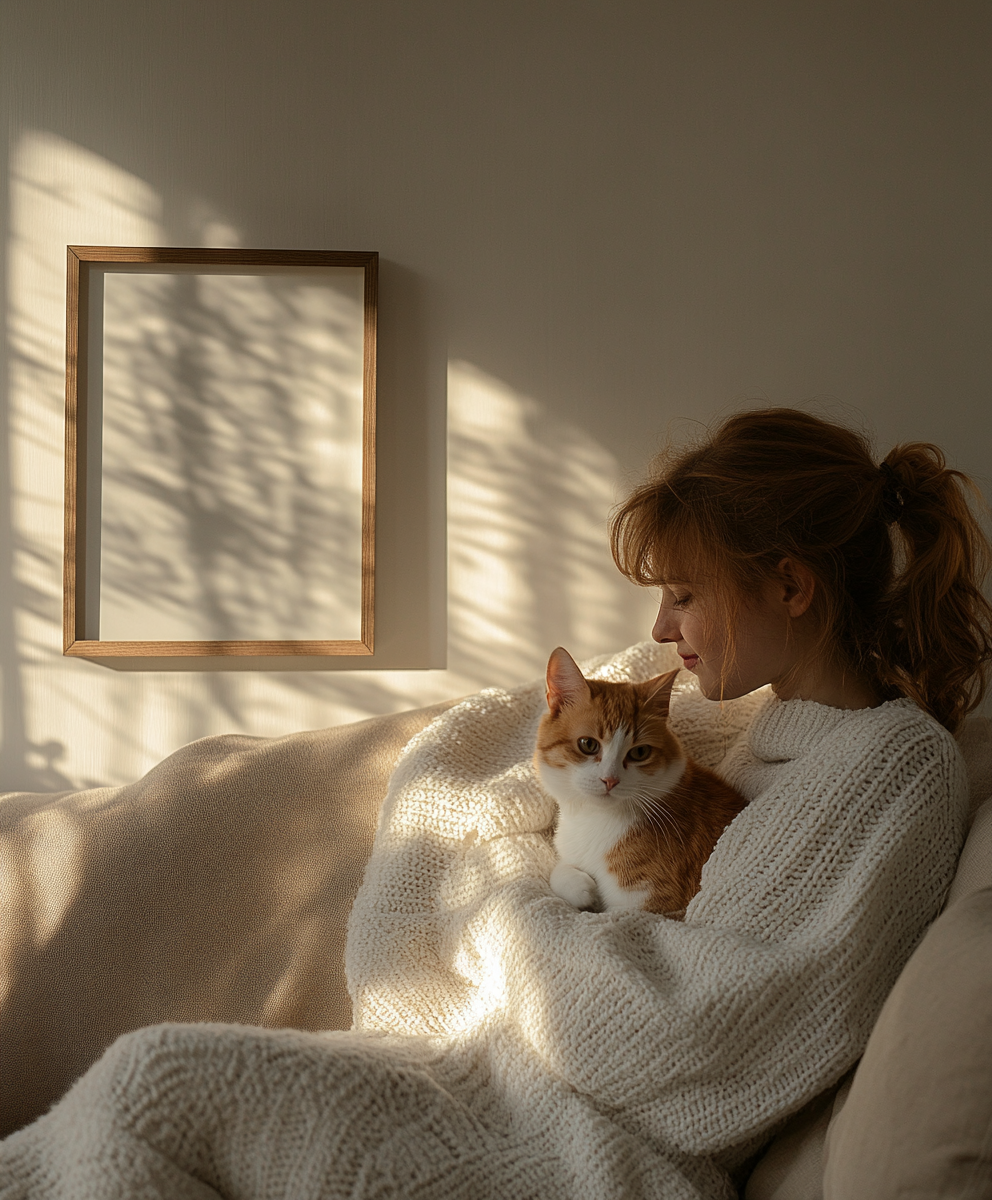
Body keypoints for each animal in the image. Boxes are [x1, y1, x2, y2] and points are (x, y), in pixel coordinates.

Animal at [539, 652, 748, 912]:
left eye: (640, 752)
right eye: (588, 744)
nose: (610, 780)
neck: (592, 819)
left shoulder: (652, 905)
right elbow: (559, 871)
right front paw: (580, 887)